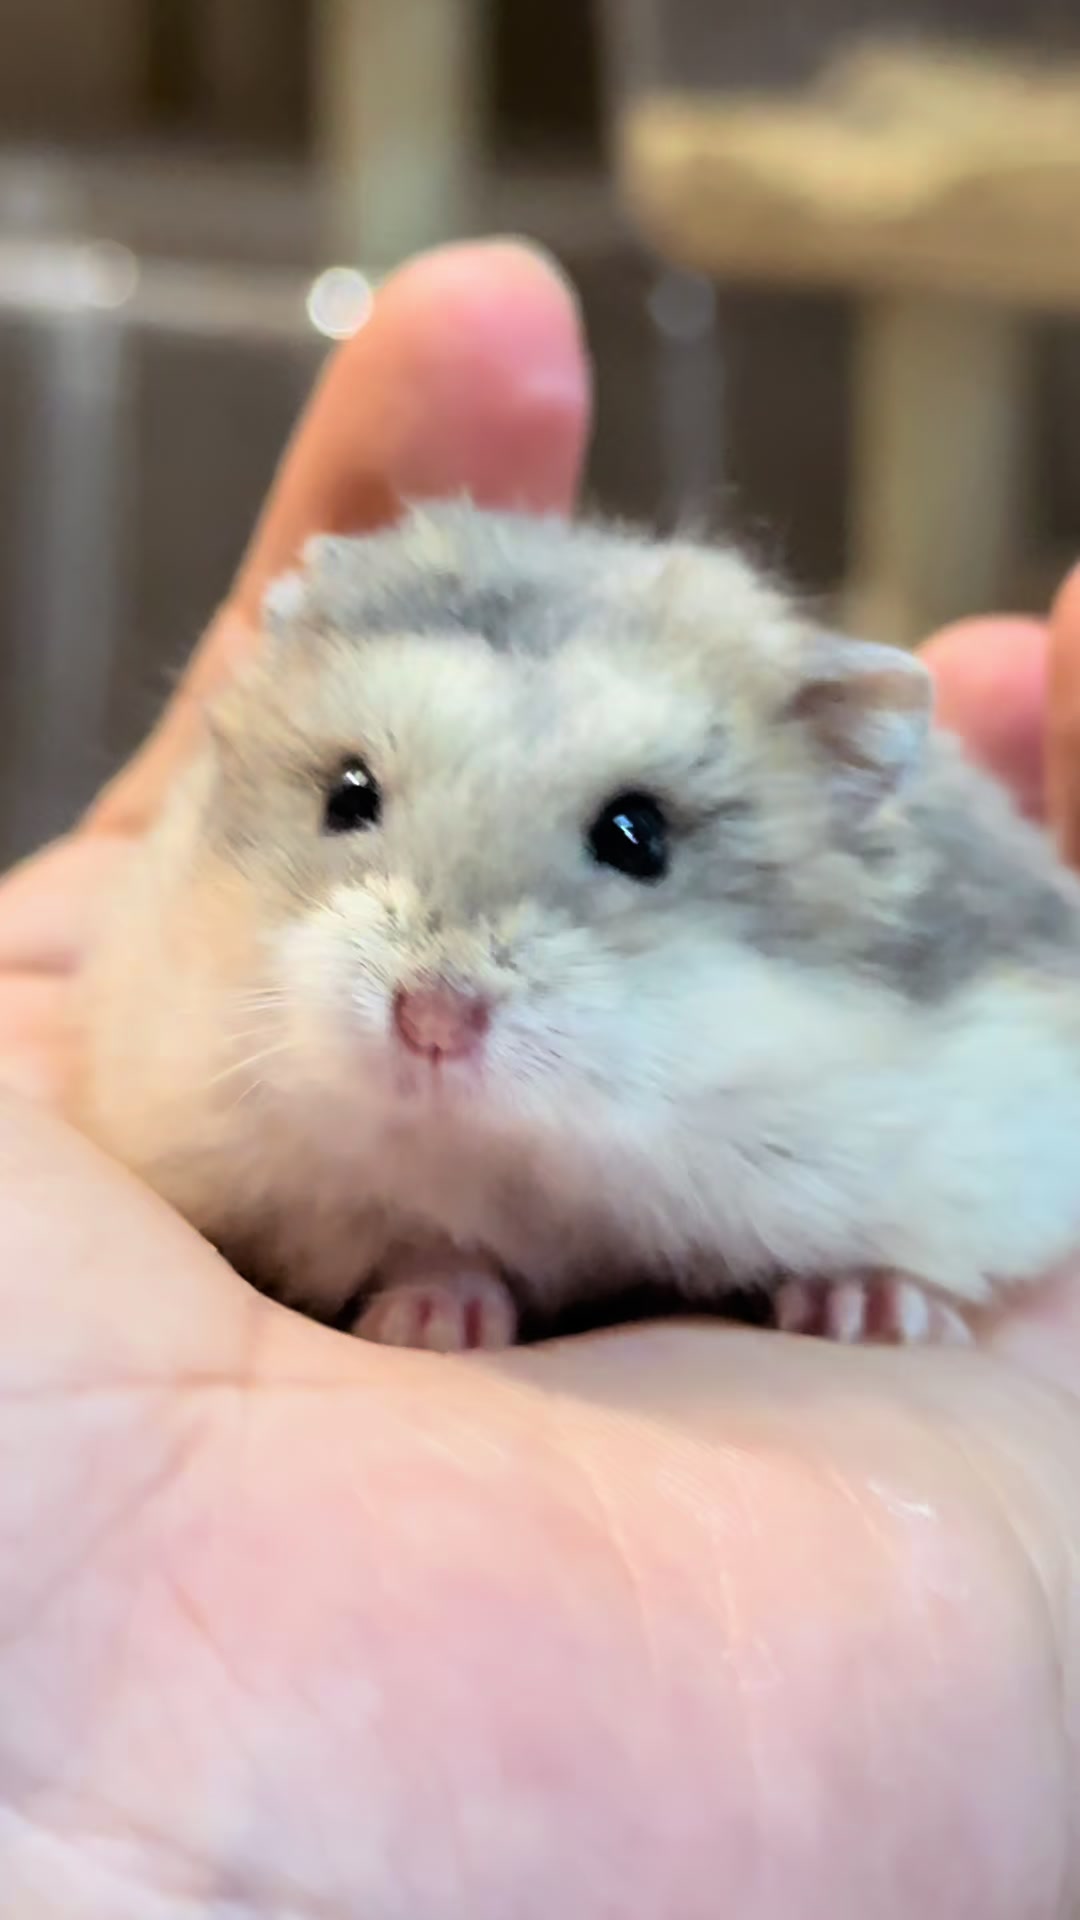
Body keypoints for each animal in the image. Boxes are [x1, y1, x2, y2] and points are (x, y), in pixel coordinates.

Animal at [73, 502, 1080, 1351]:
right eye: (347, 795)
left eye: (638, 835)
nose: (433, 1022)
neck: (526, 1152)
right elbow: (420, 1242)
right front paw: (434, 1322)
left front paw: (874, 1315)